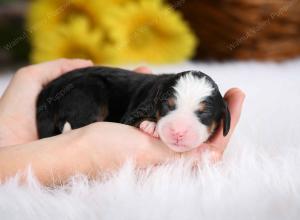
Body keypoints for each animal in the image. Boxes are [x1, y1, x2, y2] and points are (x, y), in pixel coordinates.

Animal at [37, 67, 230, 152]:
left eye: (204, 113)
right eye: (168, 105)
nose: (178, 132)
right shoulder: (134, 111)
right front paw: (151, 125)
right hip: (88, 92)